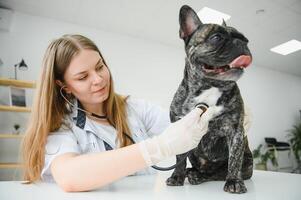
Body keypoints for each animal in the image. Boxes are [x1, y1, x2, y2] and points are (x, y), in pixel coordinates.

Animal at [166, 5, 253, 194]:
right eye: (216, 38)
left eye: (246, 40)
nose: (241, 43)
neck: (210, 86)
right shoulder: (181, 128)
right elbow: (180, 158)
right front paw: (177, 176)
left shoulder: (236, 131)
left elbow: (234, 160)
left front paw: (234, 181)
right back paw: (191, 173)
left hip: (247, 162)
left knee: (217, 173)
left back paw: (198, 176)